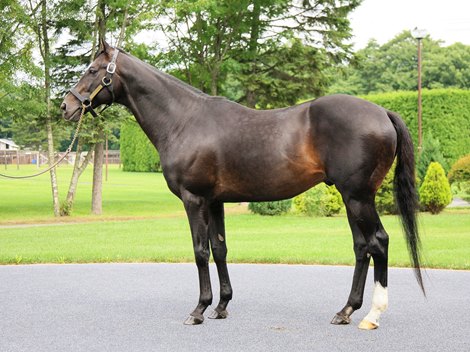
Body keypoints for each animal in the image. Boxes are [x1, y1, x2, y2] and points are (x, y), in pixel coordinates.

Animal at [60, 41, 424, 330]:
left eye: (93, 70)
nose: (67, 106)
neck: (184, 120)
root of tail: (382, 112)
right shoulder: (215, 201)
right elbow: (219, 248)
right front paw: (221, 306)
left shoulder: (194, 199)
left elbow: (200, 251)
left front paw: (198, 310)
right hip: (351, 199)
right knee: (362, 248)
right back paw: (346, 310)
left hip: (359, 197)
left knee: (379, 242)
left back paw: (372, 315)